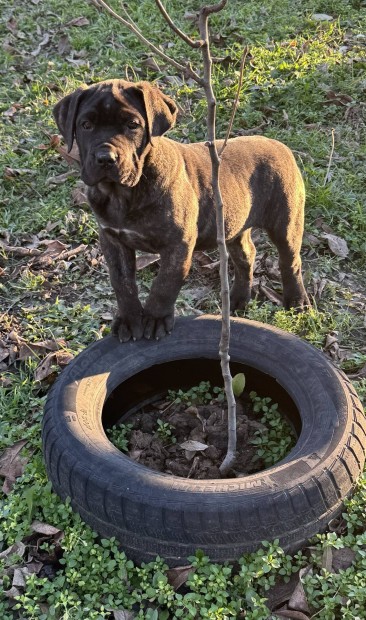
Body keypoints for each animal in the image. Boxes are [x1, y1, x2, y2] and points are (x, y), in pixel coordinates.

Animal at [54, 79, 310, 342]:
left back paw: (297, 302)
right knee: (246, 255)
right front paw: (129, 319)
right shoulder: (113, 240)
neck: (122, 194)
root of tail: (280, 145)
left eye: (132, 125)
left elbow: (165, 283)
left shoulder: (178, 243)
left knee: (290, 262)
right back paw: (238, 300)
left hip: (286, 222)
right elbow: (122, 282)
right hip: (233, 225)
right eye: (86, 125)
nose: (106, 158)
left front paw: (155, 319)